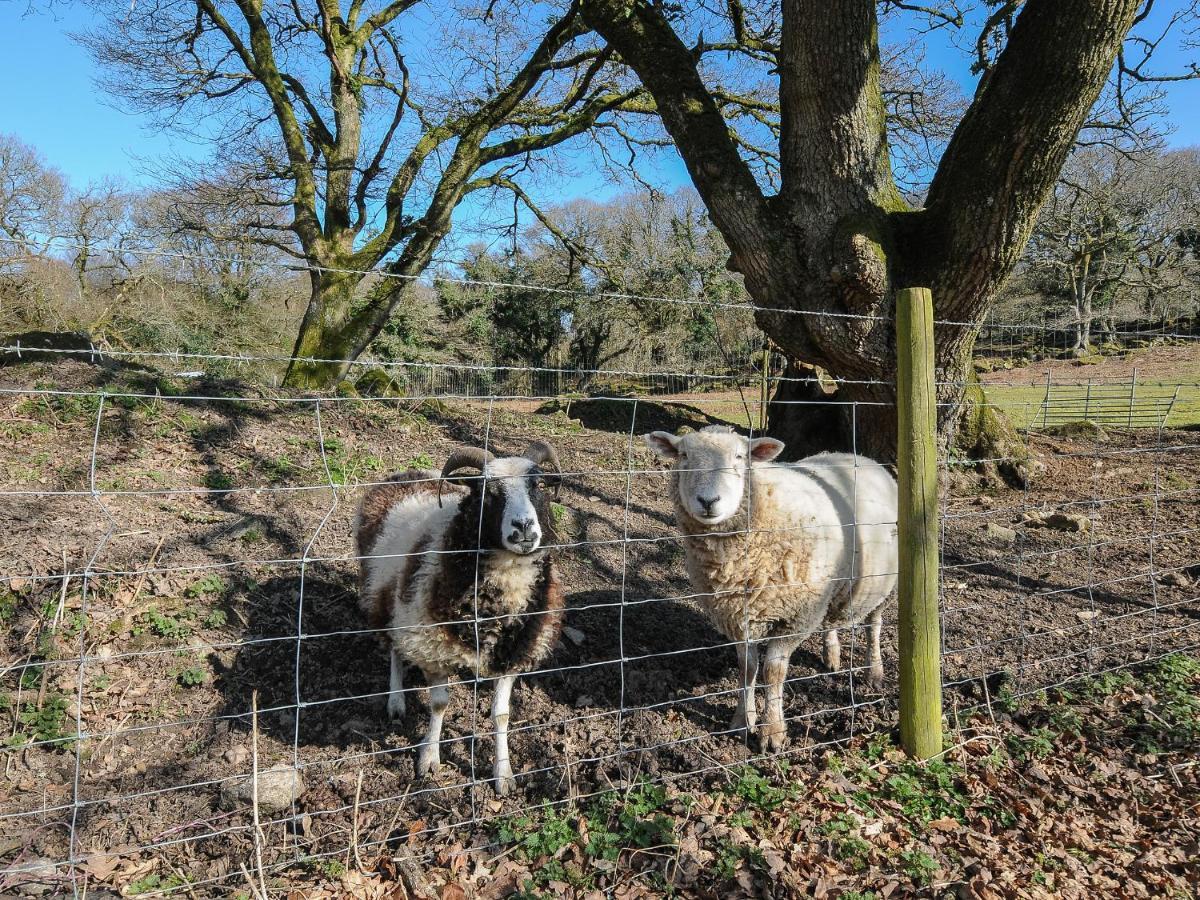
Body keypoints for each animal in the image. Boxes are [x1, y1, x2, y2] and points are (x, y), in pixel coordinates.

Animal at [352, 444, 564, 796]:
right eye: (487, 493)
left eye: (538, 485)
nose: (523, 528)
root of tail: (404, 474)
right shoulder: (430, 643)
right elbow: (439, 704)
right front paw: (429, 759)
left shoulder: (513, 651)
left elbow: (501, 714)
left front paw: (503, 773)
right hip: (387, 599)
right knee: (395, 649)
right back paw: (396, 702)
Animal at [643, 427, 897, 748]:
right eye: (684, 455)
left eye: (740, 457)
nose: (708, 500)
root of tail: (858, 456)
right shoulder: (737, 615)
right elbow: (747, 669)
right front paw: (742, 721)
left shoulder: (797, 617)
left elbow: (773, 671)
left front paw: (772, 732)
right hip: (833, 584)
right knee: (832, 620)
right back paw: (831, 654)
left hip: (885, 582)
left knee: (873, 624)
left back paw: (874, 671)